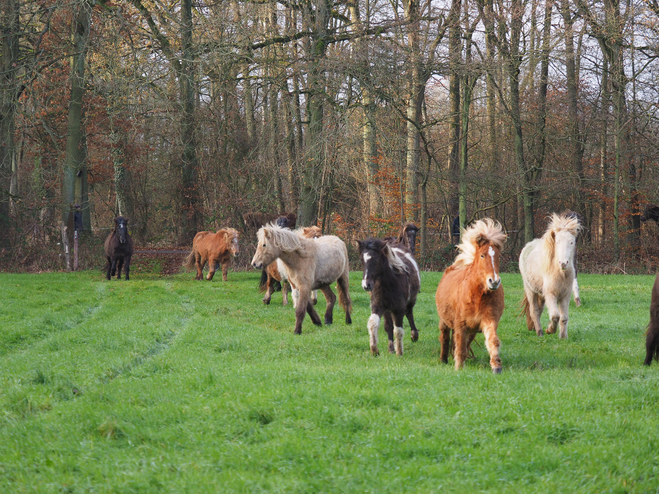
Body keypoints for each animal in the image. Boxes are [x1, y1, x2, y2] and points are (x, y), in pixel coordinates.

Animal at [436, 218, 508, 372]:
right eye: (482, 255)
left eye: (498, 256)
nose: (494, 281)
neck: (478, 295)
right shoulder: (460, 325)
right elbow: (460, 347)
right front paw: (458, 368)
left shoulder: (489, 320)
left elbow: (492, 341)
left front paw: (496, 367)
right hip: (444, 321)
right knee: (444, 338)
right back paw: (443, 360)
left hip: (472, 329)